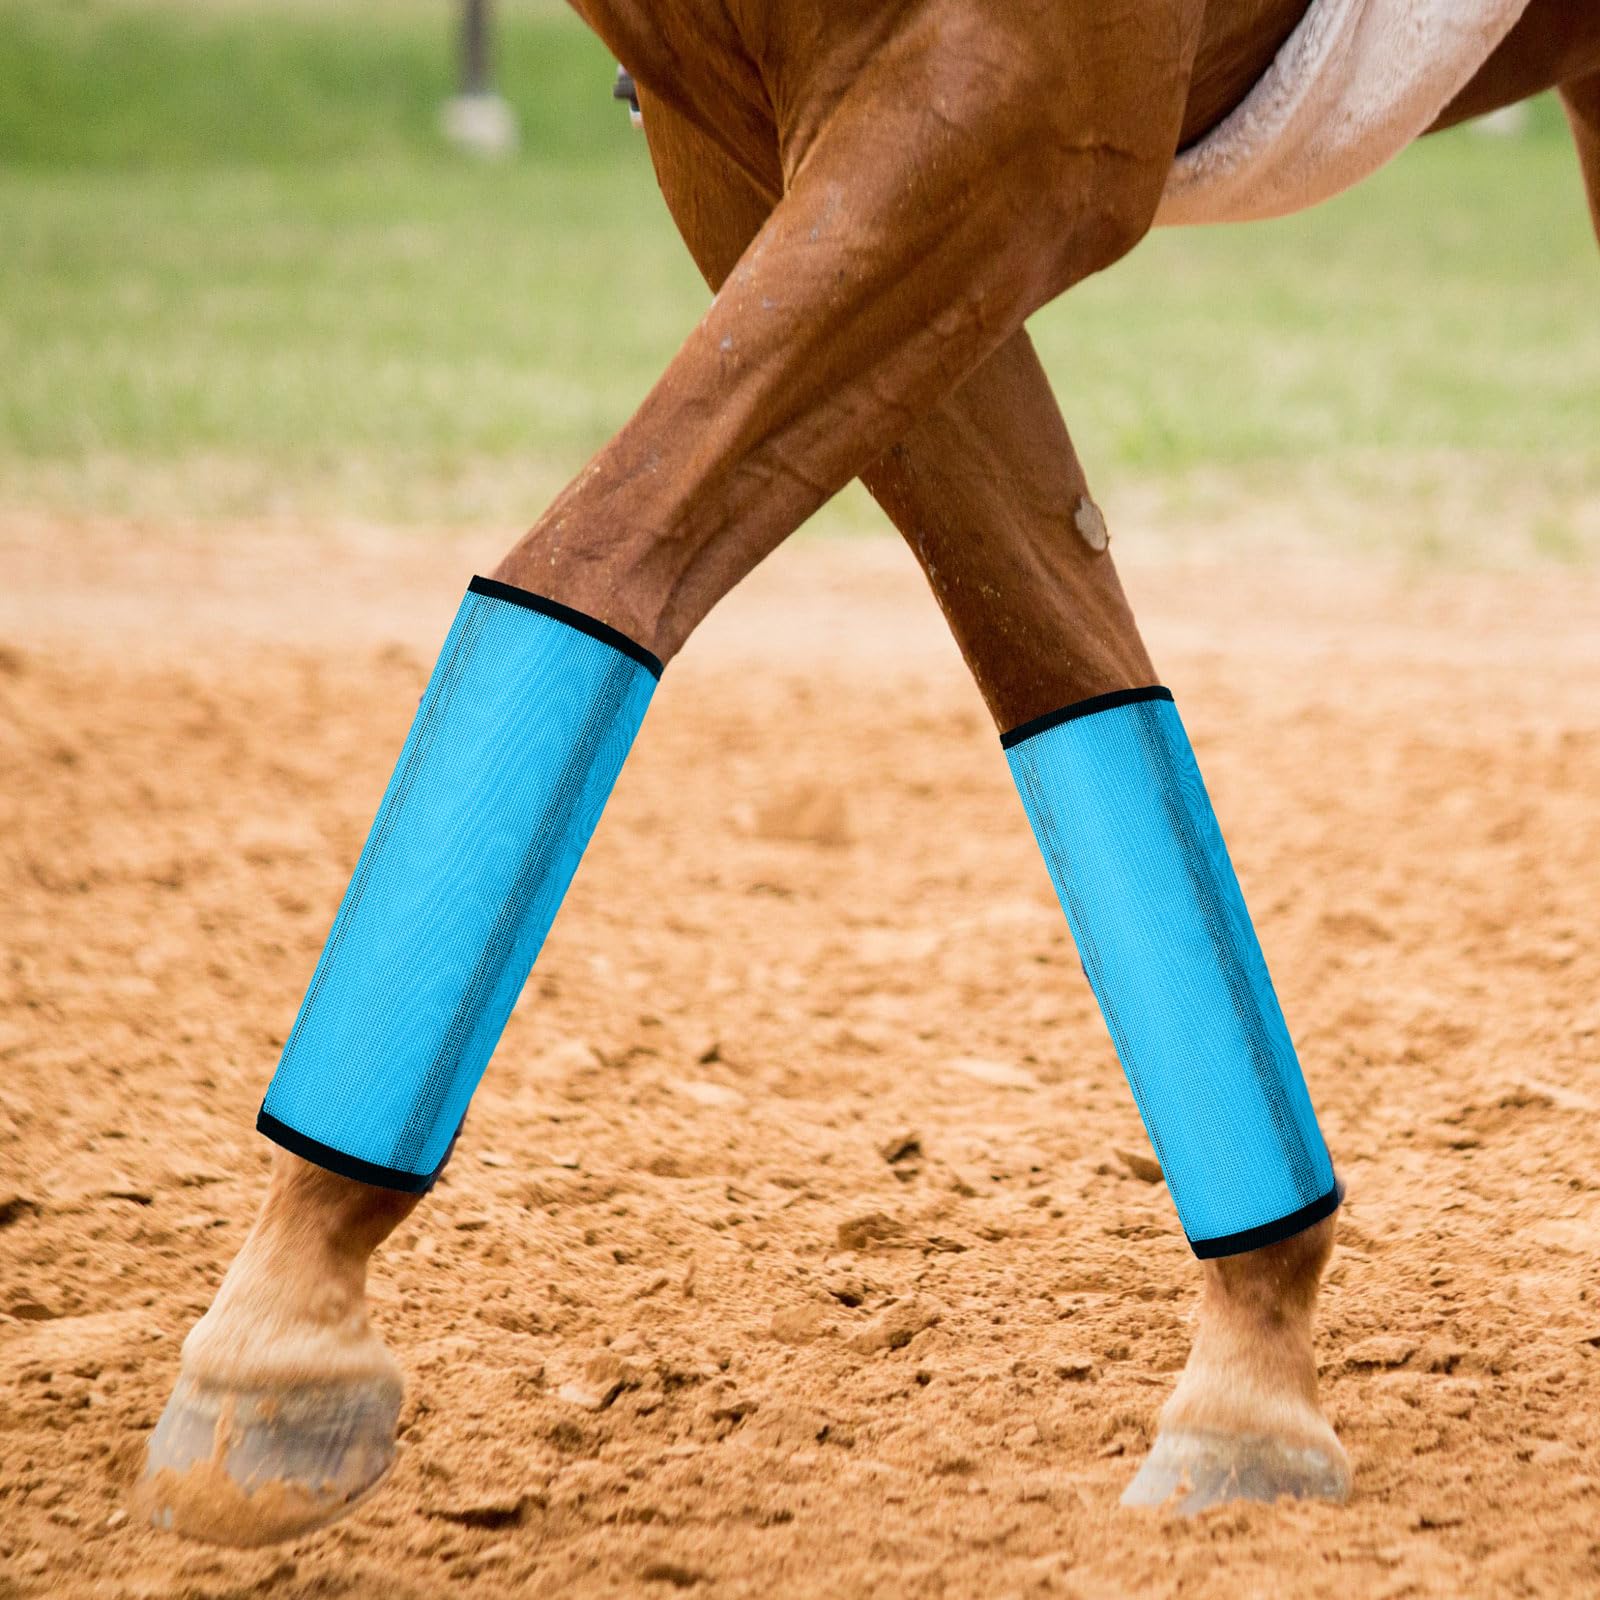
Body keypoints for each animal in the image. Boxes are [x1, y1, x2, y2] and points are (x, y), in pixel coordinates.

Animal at [139, 0, 1600, 1546]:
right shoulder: (744, 152)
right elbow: (1059, 661)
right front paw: (1252, 1376)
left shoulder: (1011, 116)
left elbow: (598, 560)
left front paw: (284, 1333)